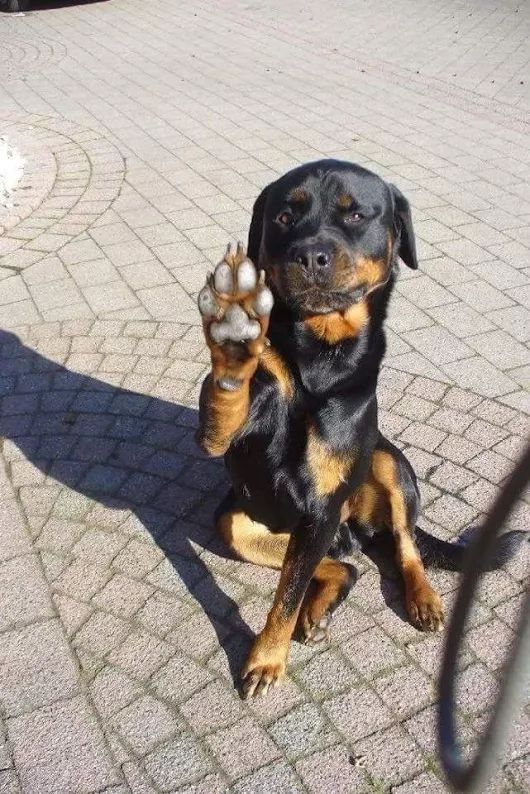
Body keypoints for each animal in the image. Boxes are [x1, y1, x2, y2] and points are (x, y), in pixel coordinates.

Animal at [195, 159, 524, 692]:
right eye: (284, 216)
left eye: (355, 215)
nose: (311, 255)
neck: (319, 357)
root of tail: (353, 532)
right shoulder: (222, 440)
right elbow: (225, 401)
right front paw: (235, 336)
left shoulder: (323, 504)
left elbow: (286, 595)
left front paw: (266, 658)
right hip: (238, 521)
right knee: (341, 568)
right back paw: (323, 605)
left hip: (388, 464)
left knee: (404, 545)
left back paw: (422, 598)